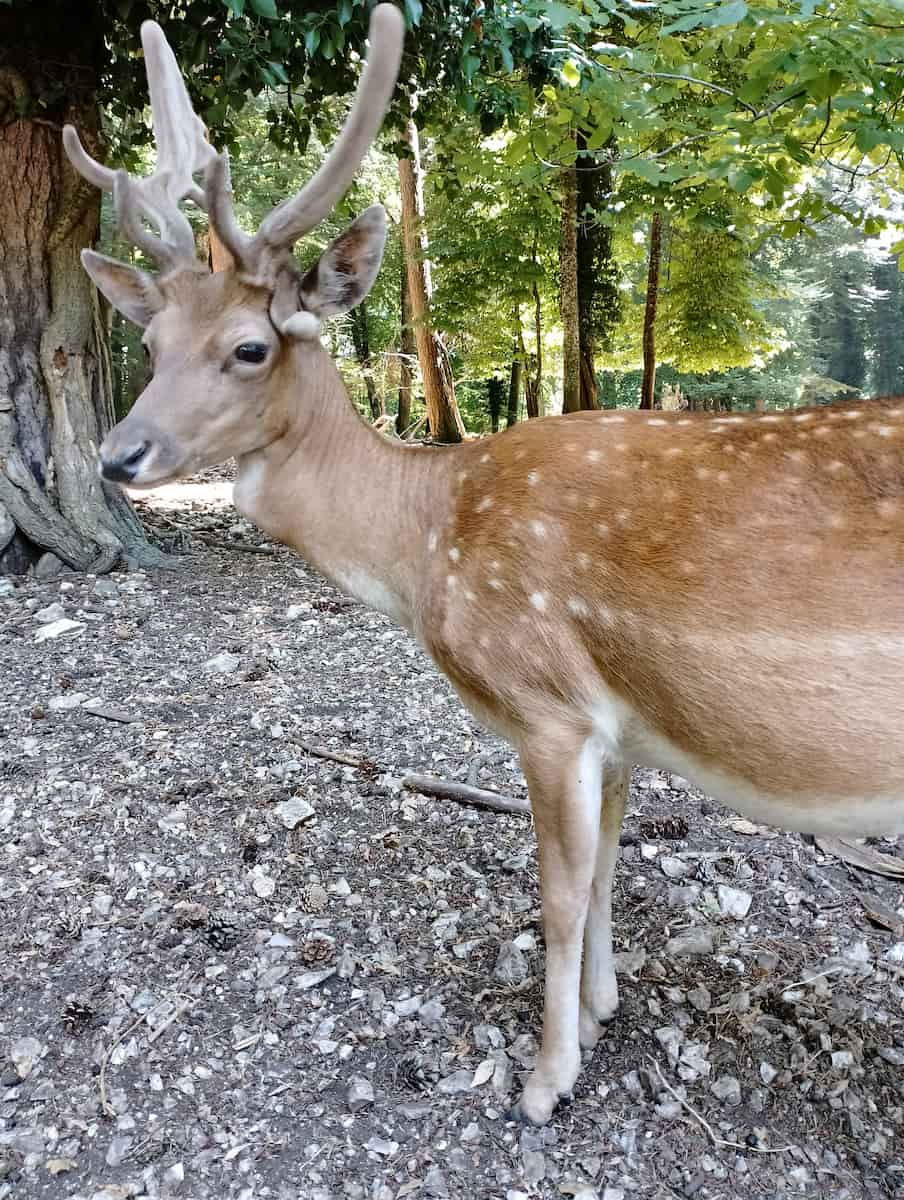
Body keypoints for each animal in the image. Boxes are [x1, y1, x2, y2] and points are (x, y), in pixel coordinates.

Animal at [65, 2, 902, 1123]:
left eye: (249, 347)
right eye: (149, 343)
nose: (119, 454)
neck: (426, 540)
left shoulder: (545, 701)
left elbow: (557, 892)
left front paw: (546, 1080)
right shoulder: (618, 728)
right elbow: (608, 867)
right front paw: (600, 1008)